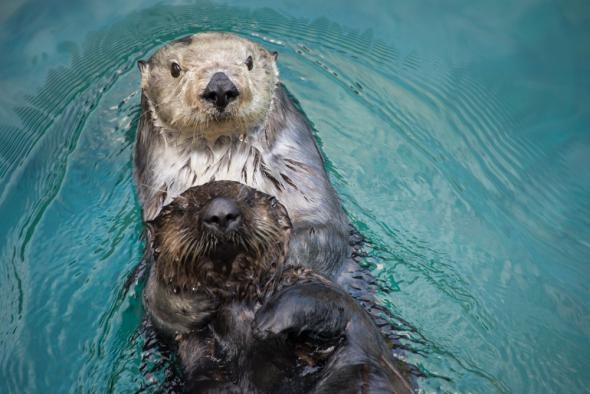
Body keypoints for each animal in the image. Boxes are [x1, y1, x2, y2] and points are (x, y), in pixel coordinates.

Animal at [144, 182, 414, 394]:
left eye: (249, 198)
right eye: (182, 209)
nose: (220, 213)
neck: (239, 308)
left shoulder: (306, 282)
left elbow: (332, 303)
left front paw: (266, 321)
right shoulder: (197, 351)